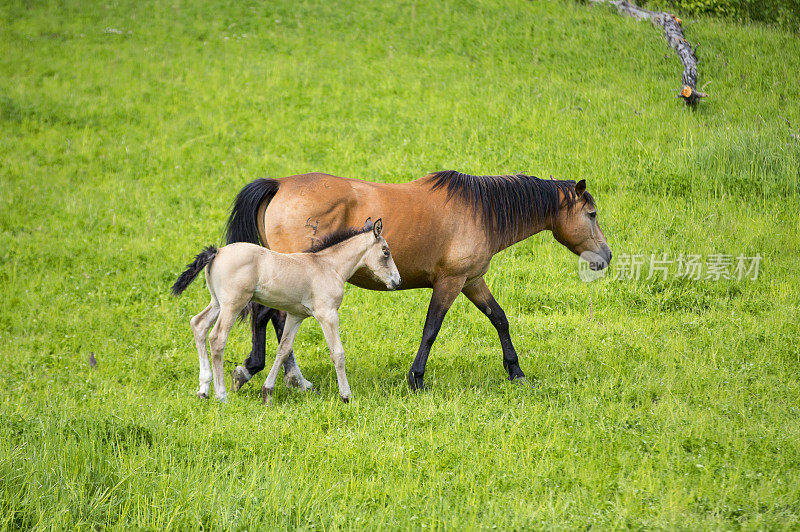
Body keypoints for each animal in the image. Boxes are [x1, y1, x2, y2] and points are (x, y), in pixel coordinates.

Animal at [175, 218, 400, 402]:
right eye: (386, 252)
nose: (397, 281)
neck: (328, 266)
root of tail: (218, 252)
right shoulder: (327, 314)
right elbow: (338, 353)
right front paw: (346, 396)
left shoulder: (296, 315)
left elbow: (283, 350)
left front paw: (267, 392)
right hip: (233, 304)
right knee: (217, 338)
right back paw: (221, 395)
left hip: (217, 302)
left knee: (198, 325)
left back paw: (203, 389)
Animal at [225, 170, 612, 390]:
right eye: (592, 215)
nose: (606, 257)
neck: (480, 211)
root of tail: (280, 185)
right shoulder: (451, 282)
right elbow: (431, 329)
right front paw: (417, 379)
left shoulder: (472, 281)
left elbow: (499, 319)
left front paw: (515, 371)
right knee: (268, 316)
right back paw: (265, 372)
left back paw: (287, 376)